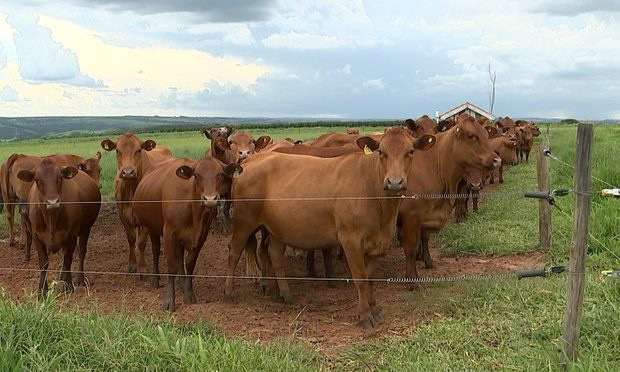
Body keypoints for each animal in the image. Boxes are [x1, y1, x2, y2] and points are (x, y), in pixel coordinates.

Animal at [17, 158, 100, 296]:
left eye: (60, 177)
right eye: (37, 180)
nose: (52, 202)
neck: (51, 218)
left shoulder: (72, 235)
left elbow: (68, 259)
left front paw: (69, 286)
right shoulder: (36, 236)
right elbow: (44, 262)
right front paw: (42, 291)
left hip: (85, 229)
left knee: (81, 252)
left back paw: (79, 279)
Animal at [100, 132, 172, 284]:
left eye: (139, 150)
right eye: (117, 150)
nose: (128, 172)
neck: (131, 189)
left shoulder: (145, 219)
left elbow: (142, 243)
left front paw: (142, 268)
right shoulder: (122, 215)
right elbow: (132, 239)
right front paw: (132, 264)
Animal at [133, 155, 240, 310]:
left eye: (220, 174)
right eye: (196, 175)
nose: (210, 199)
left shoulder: (201, 235)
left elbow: (189, 263)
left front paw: (189, 294)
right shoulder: (169, 234)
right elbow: (171, 265)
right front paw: (169, 301)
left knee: (179, 255)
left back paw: (182, 283)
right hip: (151, 227)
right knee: (155, 250)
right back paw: (155, 279)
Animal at [226, 129, 436, 328]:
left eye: (410, 151)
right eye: (381, 152)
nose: (394, 182)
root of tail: (251, 160)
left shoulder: (380, 243)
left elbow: (369, 279)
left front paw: (374, 308)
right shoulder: (350, 240)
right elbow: (360, 279)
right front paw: (365, 316)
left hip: (278, 227)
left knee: (275, 255)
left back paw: (285, 294)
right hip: (244, 222)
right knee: (234, 252)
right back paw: (229, 291)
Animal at [398, 113, 504, 280]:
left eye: (486, 135)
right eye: (471, 136)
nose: (497, 160)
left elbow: (425, 237)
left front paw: (427, 260)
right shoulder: (411, 214)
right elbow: (410, 247)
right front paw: (413, 275)